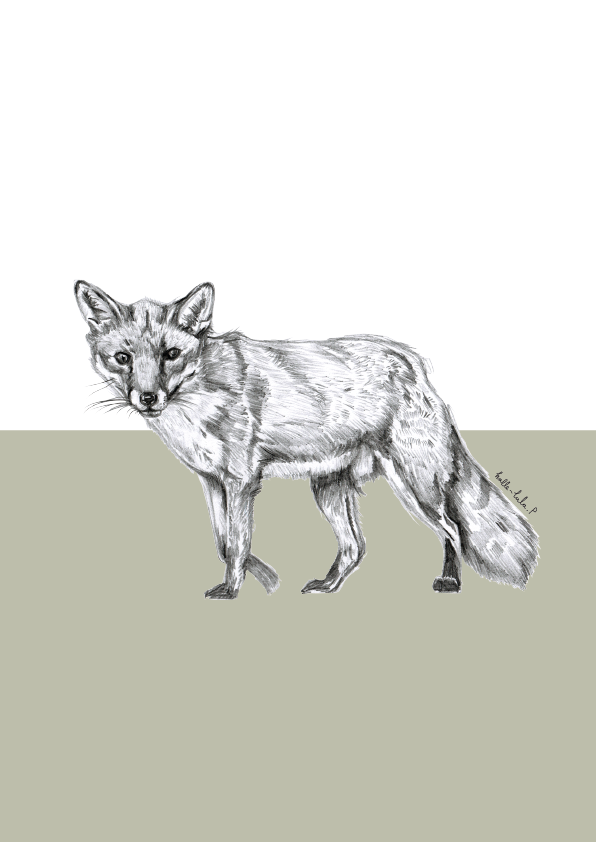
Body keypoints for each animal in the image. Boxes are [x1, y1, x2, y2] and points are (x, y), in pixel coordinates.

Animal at [75, 280, 538, 599]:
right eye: (123, 358)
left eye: (171, 354)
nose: (148, 398)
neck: (198, 397)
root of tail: (412, 361)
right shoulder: (211, 481)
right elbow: (224, 542)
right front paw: (262, 577)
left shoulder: (241, 480)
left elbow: (237, 542)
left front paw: (234, 589)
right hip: (329, 489)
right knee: (356, 547)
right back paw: (329, 586)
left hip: (416, 484)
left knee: (452, 528)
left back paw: (449, 581)